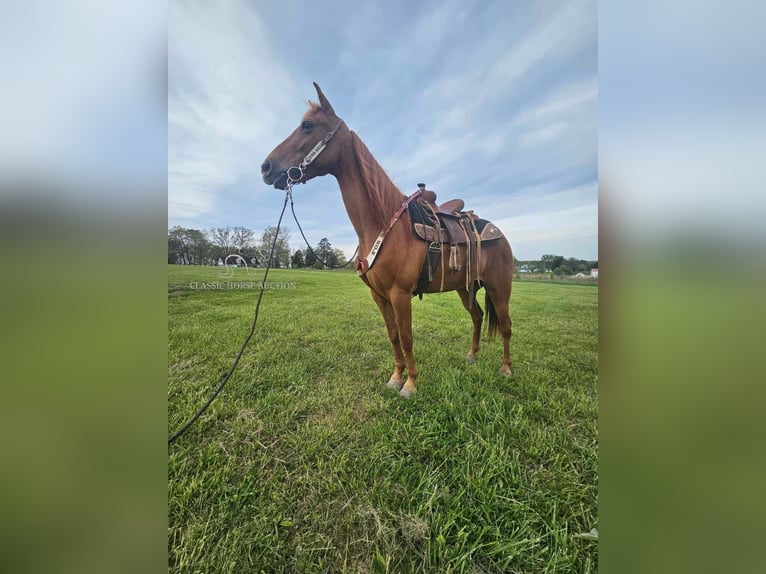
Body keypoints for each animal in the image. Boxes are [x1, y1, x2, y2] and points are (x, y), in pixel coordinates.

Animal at [260, 83, 512, 398]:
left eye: (307, 125)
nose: (266, 167)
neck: (382, 225)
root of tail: (497, 232)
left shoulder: (400, 294)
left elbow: (406, 337)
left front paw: (411, 384)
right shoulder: (379, 295)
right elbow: (393, 336)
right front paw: (395, 377)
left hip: (499, 288)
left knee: (506, 325)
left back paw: (506, 369)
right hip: (465, 288)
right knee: (477, 317)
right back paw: (472, 356)